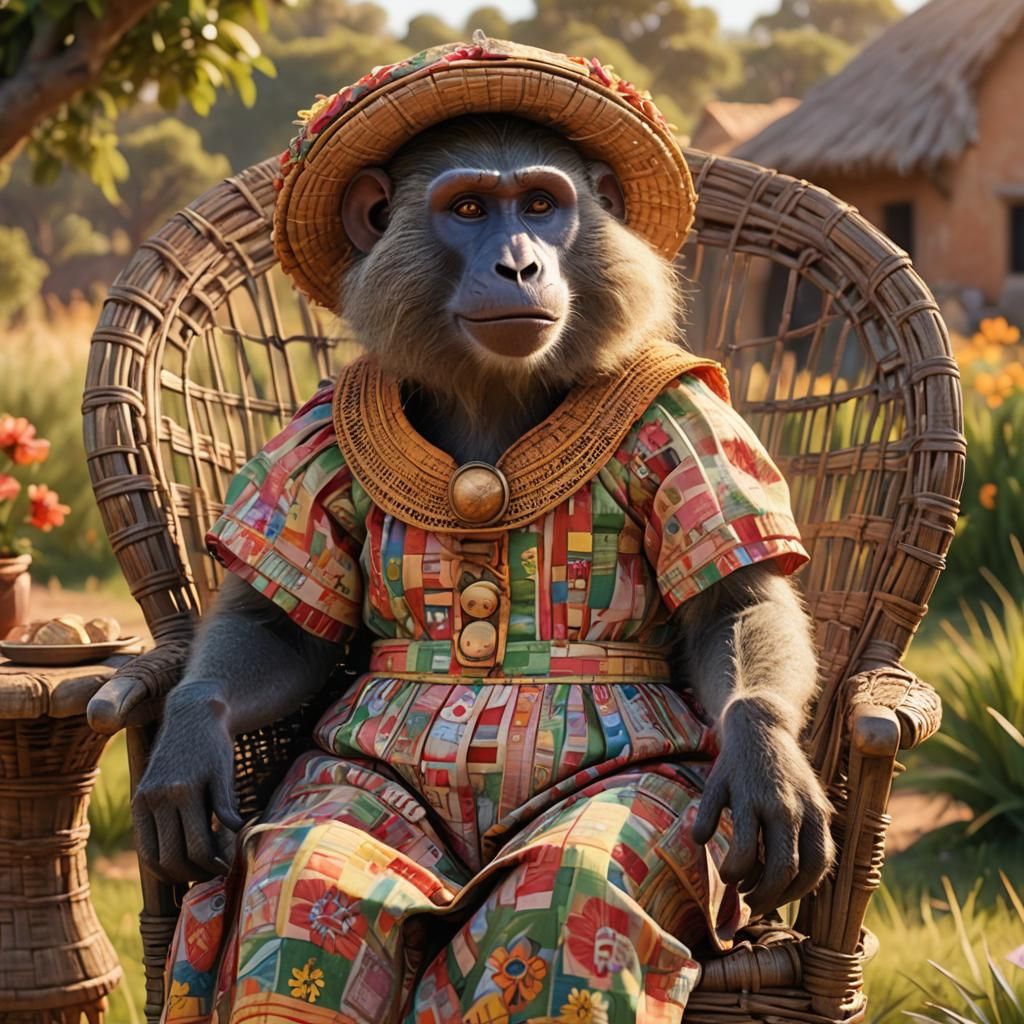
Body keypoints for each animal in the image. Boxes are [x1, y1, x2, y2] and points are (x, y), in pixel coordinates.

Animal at [122, 112, 834, 1021]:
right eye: (468, 209)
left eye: (539, 204)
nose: (519, 264)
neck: (493, 396)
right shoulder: (315, 426)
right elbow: (278, 630)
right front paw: (187, 738)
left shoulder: (687, 413)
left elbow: (734, 607)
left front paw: (765, 757)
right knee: (303, 870)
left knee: (575, 882)